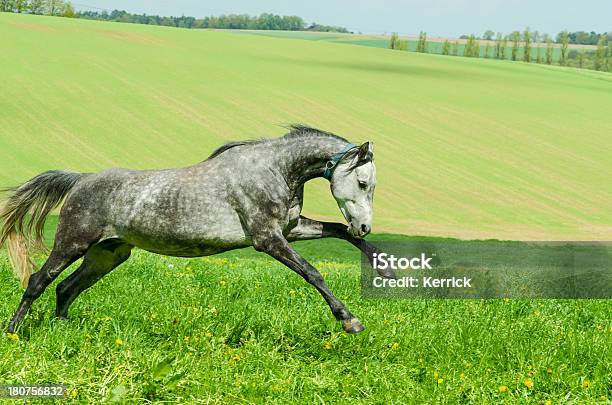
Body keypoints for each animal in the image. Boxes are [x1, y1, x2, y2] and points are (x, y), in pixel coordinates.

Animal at [0, 124, 390, 332]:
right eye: (362, 182)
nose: (365, 226)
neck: (275, 170)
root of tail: (81, 180)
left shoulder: (290, 229)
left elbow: (338, 230)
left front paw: (385, 268)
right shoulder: (267, 239)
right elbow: (313, 273)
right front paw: (350, 321)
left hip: (108, 254)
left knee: (66, 288)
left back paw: (61, 328)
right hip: (72, 244)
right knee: (38, 281)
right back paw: (14, 332)